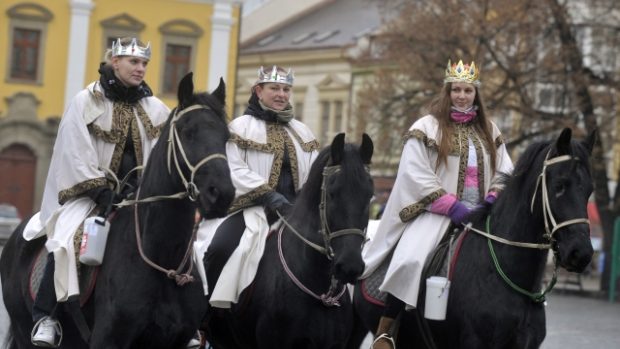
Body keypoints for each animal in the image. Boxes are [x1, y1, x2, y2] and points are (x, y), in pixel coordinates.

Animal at [0, 72, 235, 346]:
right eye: (188, 132)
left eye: (226, 137)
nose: (221, 194)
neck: (163, 259)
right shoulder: (109, 339)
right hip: (23, 330)